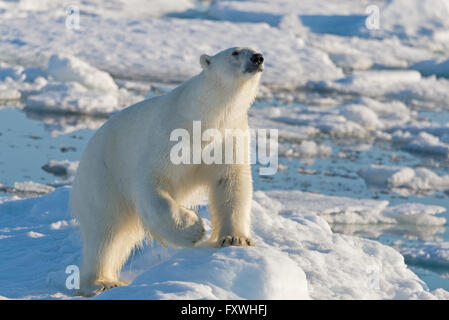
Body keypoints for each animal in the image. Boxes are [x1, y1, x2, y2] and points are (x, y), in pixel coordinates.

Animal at [70, 46, 264, 296]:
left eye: (255, 50)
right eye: (235, 52)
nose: (257, 58)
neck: (206, 117)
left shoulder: (229, 136)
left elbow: (231, 183)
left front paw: (236, 239)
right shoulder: (170, 136)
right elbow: (154, 182)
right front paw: (193, 228)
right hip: (103, 177)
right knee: (105, 231)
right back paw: (102, 282)